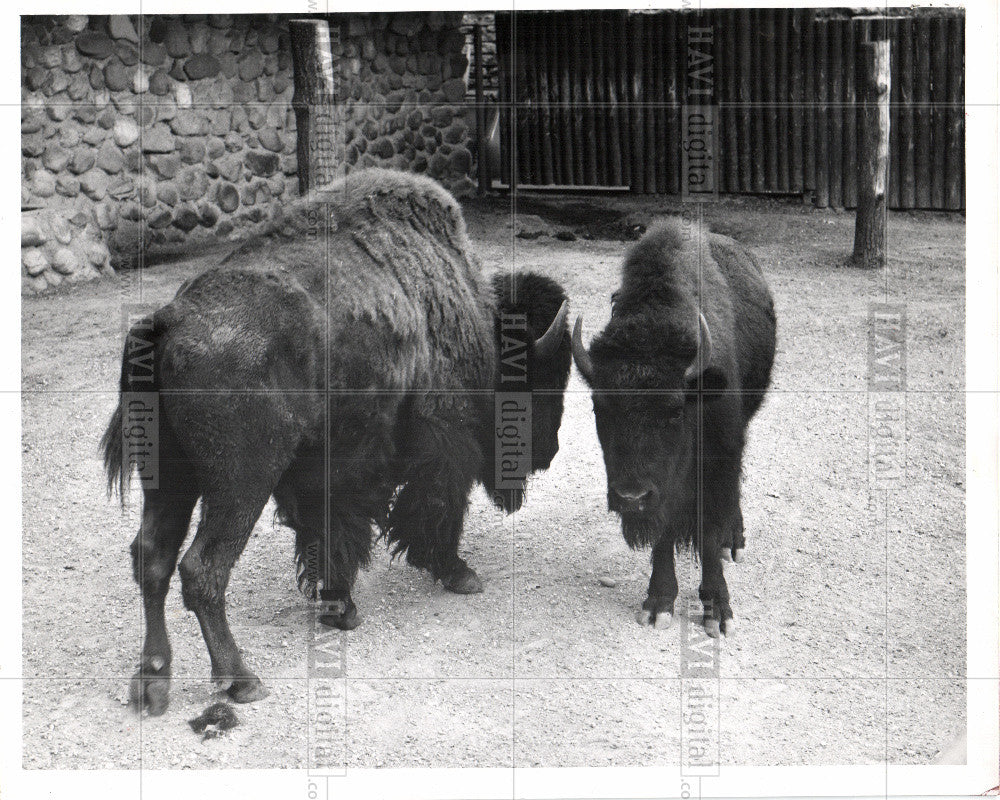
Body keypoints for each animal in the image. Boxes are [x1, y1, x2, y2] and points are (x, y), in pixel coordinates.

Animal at [103, 169, 572, 712]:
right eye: (539, 382)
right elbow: (436, 509)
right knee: (201, 570)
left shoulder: (325, 476)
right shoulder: (440, 441)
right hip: (239, 484)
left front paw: (340, 608)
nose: (548, 452)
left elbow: (329, 535)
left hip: (170, 479)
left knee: (152, 560)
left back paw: (153, 682)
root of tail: (168, 320)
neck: (475, 319)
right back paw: (241, 680)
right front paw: (459, 574)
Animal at [572, 219, 772, 636]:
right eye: (599, 408)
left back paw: (734, 542)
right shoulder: (662, 491)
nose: (631, 497)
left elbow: (709, 532)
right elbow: (663, 534)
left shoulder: (717, 460)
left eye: (676, 411)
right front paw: (658, 603)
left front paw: (718, 613)